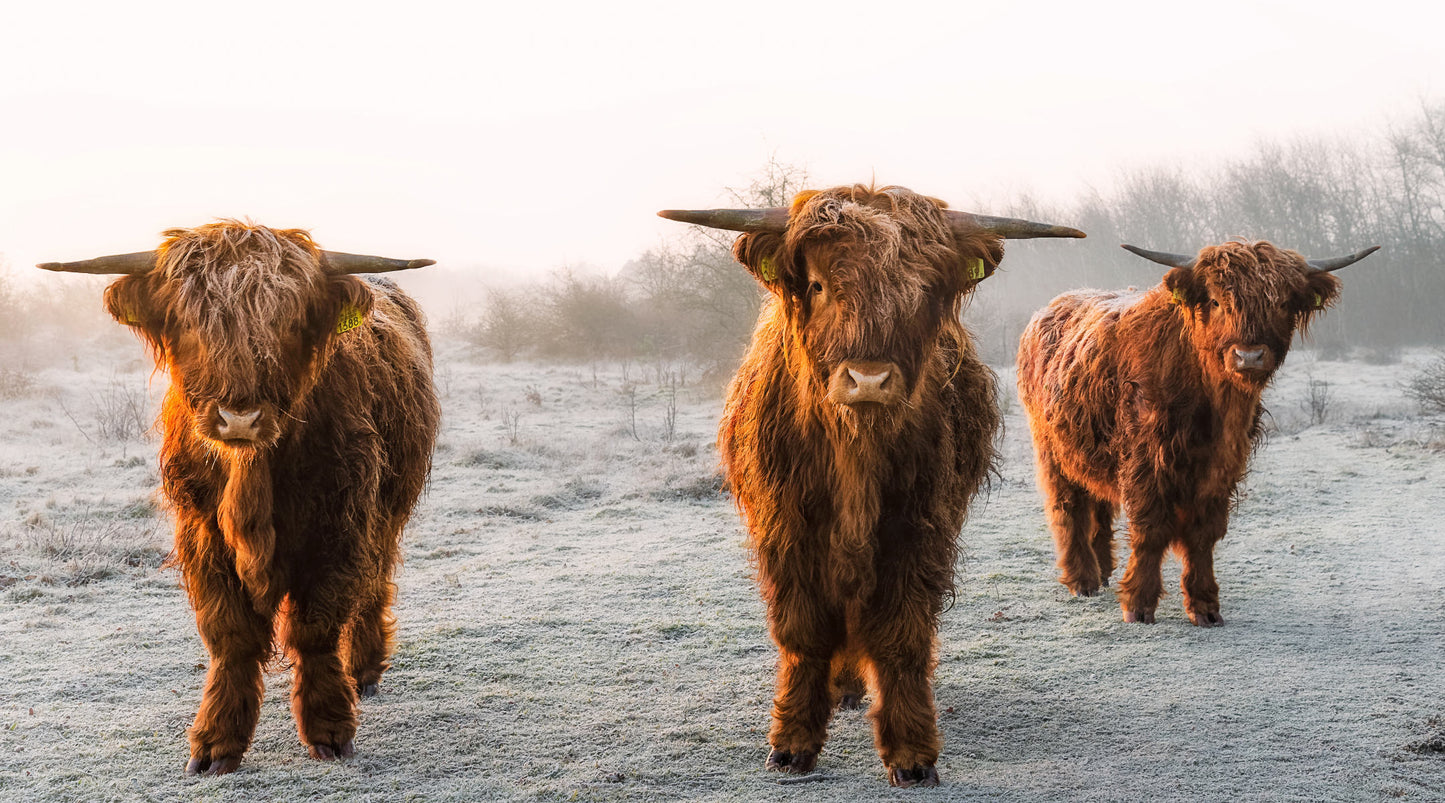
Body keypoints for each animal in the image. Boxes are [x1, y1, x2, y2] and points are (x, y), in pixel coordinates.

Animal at [38, 221, 441, 775]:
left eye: (289, 320)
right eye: (189, 320)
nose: (239, 418)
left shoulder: (339, 526)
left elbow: (315, 628)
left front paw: (329, 729)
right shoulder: (201, 530)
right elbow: (231, 634)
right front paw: (216, 743)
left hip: (388, 509)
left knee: (375, 580)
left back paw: (364, 669)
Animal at [659, 185, 1084, 787]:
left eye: (924, 292)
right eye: (818, 284)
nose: (868, 380)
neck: (854, 449)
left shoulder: (918, 530)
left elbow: (901, 637)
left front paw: (911, 752)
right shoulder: (787, 529)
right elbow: (804, 633)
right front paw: (792, 743)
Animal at [1016, 239, 1378, 626]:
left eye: (1281, 303)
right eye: (1217, 301)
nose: (1249, 356)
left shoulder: (1221, 467)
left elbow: (1204, 534)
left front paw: (1205, 606)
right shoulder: (1146, 461)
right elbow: (1150, 529)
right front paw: (1138, 604)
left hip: (1092, 449)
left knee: (1097, 503)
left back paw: (1102, 572)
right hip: (1050, 447)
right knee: (1067, 508)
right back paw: (1082, 580)